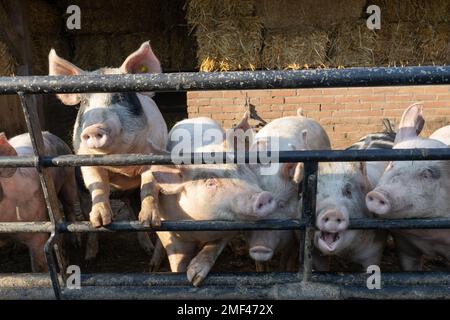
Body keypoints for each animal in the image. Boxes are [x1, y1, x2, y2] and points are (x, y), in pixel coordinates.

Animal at [0, 131, 77, 272]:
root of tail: (48, 133)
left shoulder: (36, 225)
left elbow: (40, 267)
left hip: (69, 177)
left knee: (69, 206)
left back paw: (75, 243)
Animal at [47, 42, 168, 230]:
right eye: (84, 102)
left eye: (121, 97)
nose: (92, 128)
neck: (119, 163)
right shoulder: (85, 160)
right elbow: (98, 185)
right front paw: (99, 222)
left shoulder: (156, 152)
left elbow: (149, 186)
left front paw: (148, 222)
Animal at [151, 117, 278, 284]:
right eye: (210, 181)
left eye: (240, 167)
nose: (263, 196)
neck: (201, 230)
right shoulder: (171, 234)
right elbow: (177, 261)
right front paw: (188, 280)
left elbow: (214, 247)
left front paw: (195, 277)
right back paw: (152, 266)